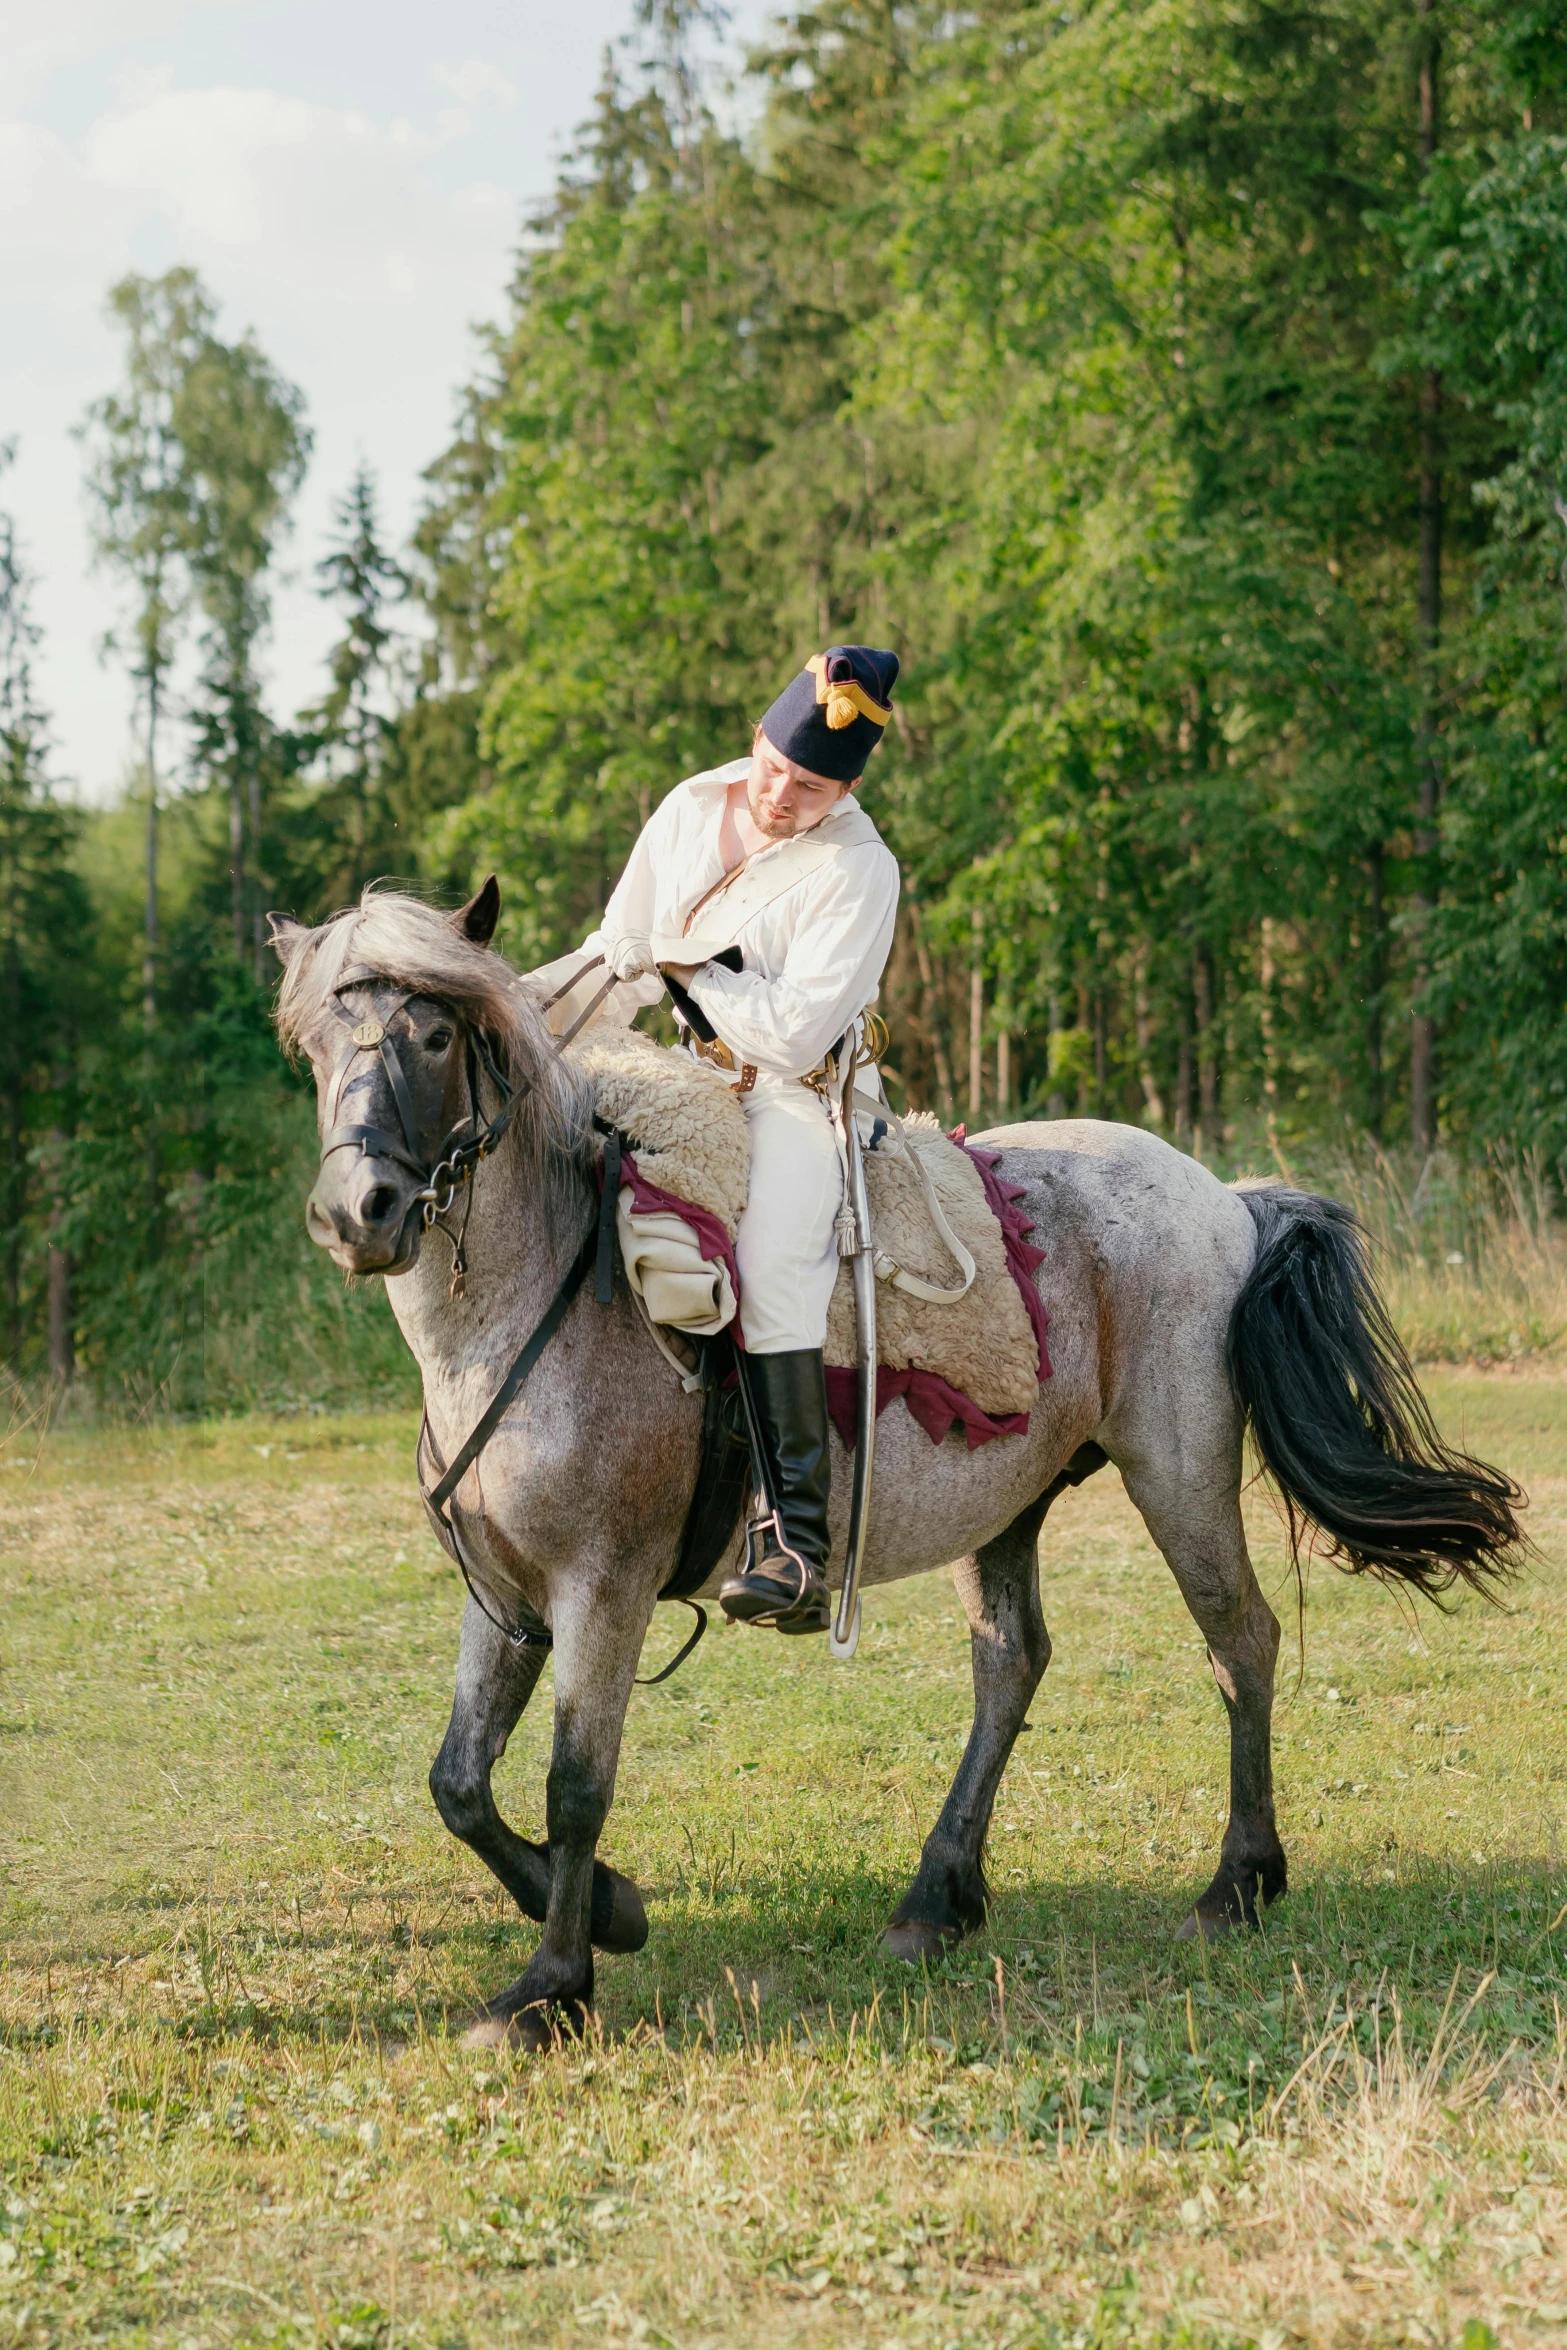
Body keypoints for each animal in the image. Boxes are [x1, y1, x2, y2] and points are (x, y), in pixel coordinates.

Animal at [272, 883, 1531, 2039]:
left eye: (435, 1035)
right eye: (318, 1044)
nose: (356, 1210)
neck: (546, 1295)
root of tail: (1226, 1195)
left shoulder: (603, 1587)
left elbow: (575, 1784)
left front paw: (553, 1983)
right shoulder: (505, 1593)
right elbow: (459, 1781)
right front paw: (615, 1915)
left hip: (1176, 1474)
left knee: (1240, 1642)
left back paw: (1236, 1884)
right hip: (1007, 1503)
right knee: (1011, 1664)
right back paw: (938, 1896)